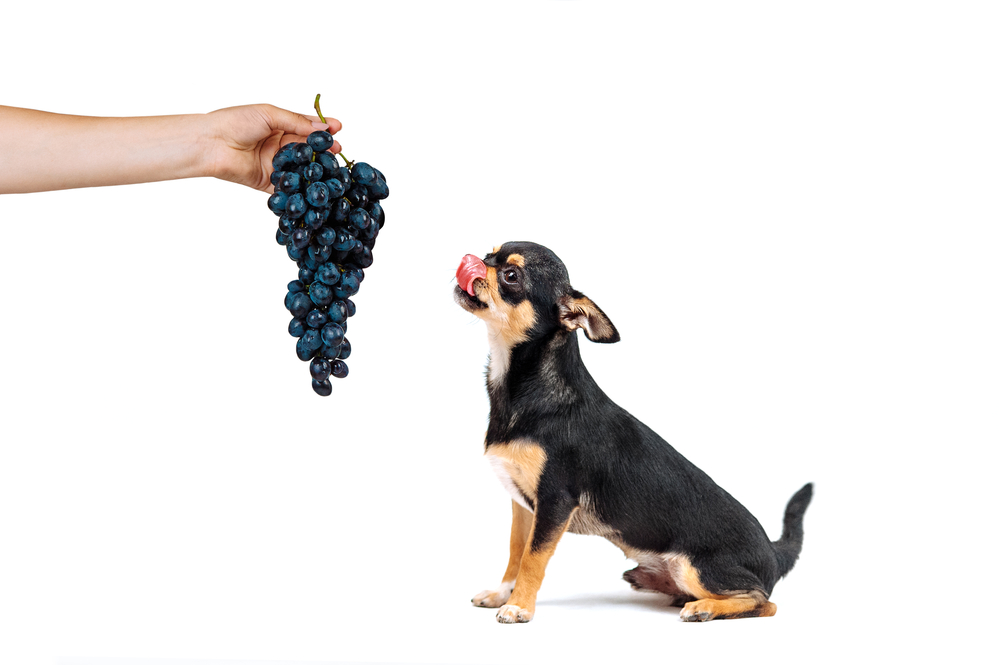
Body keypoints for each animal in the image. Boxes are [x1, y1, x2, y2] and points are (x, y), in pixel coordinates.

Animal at [454, 240, 812, 624]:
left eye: (511, 276)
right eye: (489, 254)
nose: (475, 262)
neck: (520, 385)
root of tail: (773, 553)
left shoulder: (555, 502)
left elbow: (534, 559)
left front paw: (519, 605)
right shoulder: (523, 505)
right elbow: (516, 551)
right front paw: (502, 593)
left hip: (696, 568)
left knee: (765, 602)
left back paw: (704, 607)